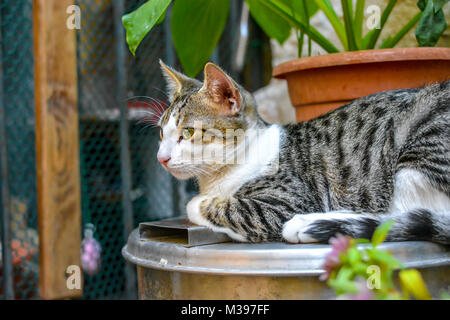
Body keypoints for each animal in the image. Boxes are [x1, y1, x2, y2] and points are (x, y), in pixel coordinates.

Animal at [155, 60, 450, 244]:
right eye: (161, 133)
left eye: (188, 132)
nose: (161, 158)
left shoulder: (287, 201)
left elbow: (219, 207)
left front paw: (199, 203)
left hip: (418, 150)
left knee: (401, 213)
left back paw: (310, 224)